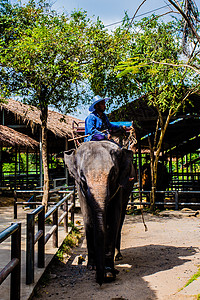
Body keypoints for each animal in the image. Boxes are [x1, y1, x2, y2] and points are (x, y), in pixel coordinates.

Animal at [64, 141, 136, 286]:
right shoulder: (79, 188)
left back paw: (118, 256)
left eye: (113, 174)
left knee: (121, 218)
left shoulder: (119, 186)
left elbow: (113, 220)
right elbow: (88, 219)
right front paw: (92, 267)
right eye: (82, 178)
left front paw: (108, 274)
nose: (99, 281)